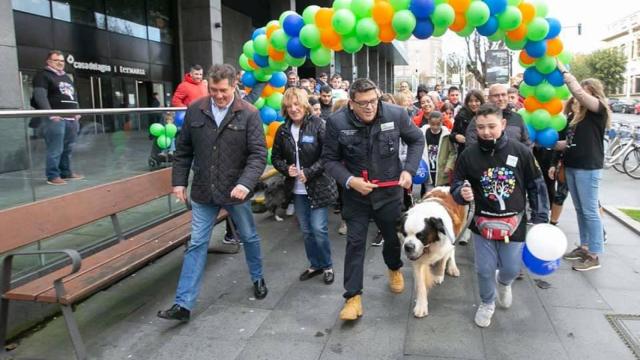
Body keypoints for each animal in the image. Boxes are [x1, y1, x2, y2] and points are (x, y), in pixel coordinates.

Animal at [398, 187, 468, 316]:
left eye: (420, 235)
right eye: (404, 234)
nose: (408, 247)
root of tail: (446, 187)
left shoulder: (446, 246)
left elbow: (443, 262)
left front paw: (439, 275)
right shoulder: (417, 261)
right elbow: (421, 284)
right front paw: (421, 305)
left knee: (452, 252)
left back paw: (452, 267)